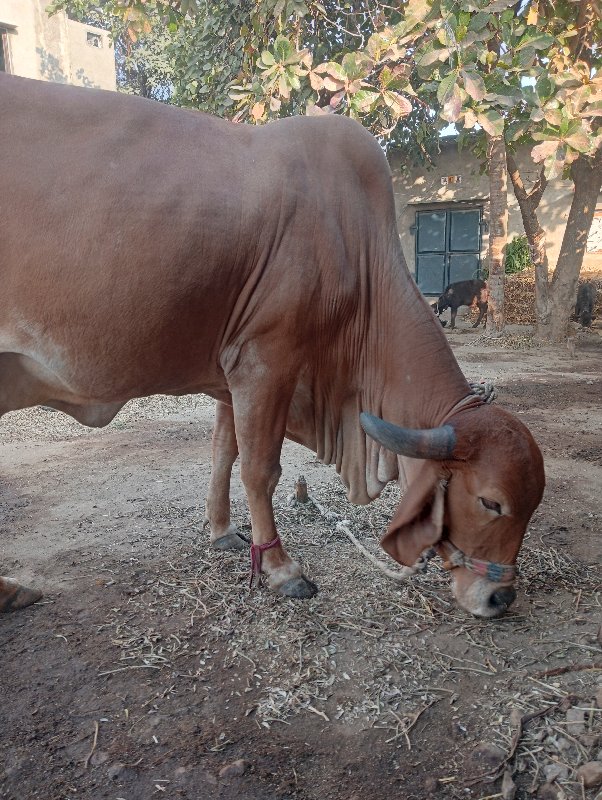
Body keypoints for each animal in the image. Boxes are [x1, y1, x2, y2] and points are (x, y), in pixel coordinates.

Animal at [1, 75, 544, 620]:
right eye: (491, 502)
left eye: (533, 504)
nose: (500, 596)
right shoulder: (266, 362)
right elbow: (260, 469)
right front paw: (281, 568)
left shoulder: (228, 375)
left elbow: (223, 453)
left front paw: (221, 532)